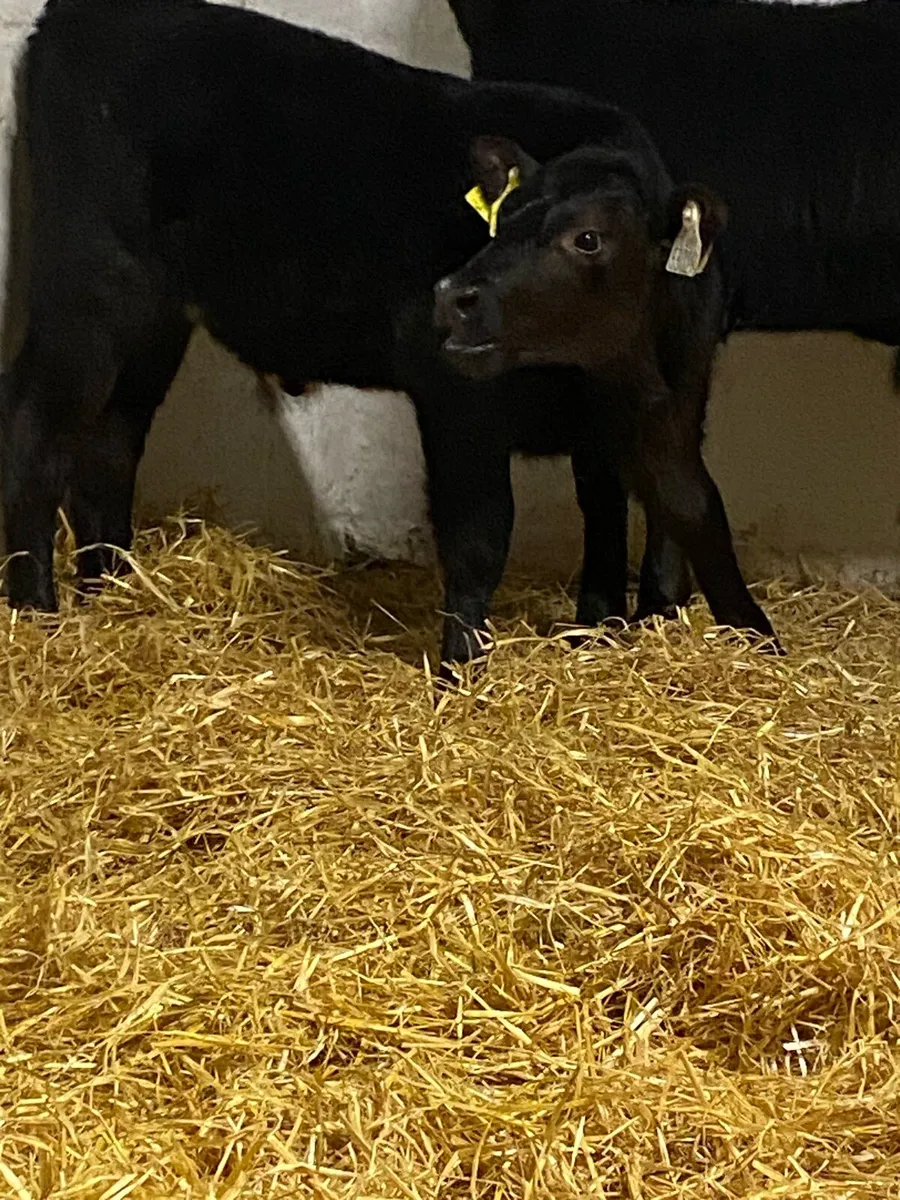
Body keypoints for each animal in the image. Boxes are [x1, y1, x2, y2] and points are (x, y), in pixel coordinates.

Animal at [0, 0, 735, 678]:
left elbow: (629, 519)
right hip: (91, 286)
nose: (451, 295)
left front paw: (613, 632)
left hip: (154, 317)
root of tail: (74, 19)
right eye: (501, 222)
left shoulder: (658, 411)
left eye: (588, 239)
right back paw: (37, 611)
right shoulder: (459, 404)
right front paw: (461, 673)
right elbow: (480, 536)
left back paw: (110, 592)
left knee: (110, 441)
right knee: (35, 427)